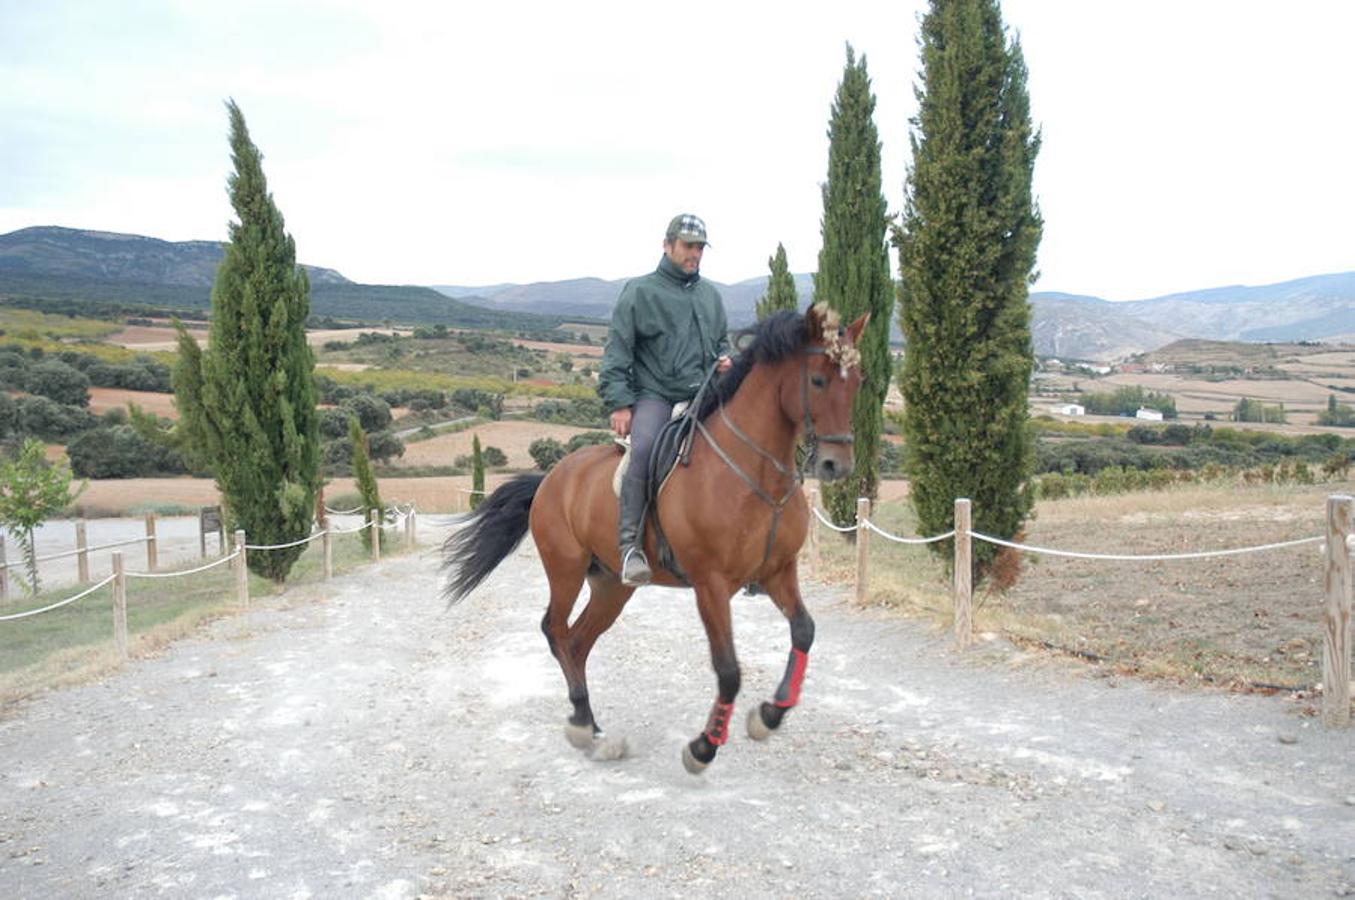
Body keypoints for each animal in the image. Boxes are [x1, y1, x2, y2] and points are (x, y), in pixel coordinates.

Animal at [444, 303, 867, 775]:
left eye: (859, 382)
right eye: (818, 380)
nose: (836, 465)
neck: (753, 474)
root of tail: (552, 477)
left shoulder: (778, 571)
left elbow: (804, 631)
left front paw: (769, 715)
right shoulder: (710, 585)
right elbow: (728, 669)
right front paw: (703, 747)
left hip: (611, 586)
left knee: (578, 641)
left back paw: (595, 730)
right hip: (565, 569)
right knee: (555, 629)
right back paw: (582, 724)